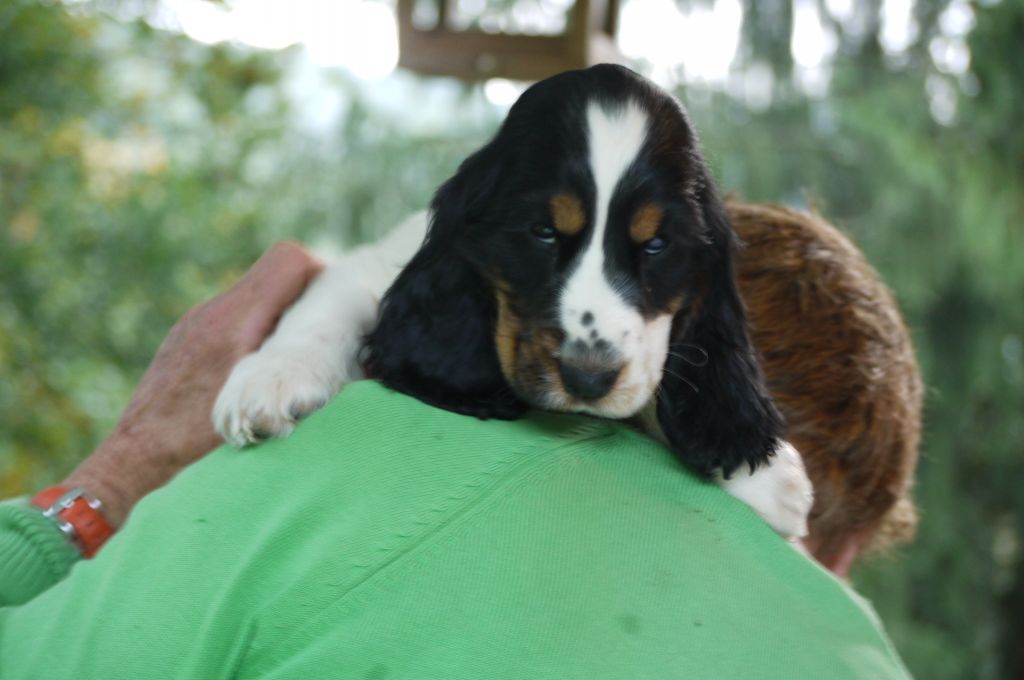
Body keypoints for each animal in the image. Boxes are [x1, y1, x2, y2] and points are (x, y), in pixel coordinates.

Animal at [214, 66, 815, 540]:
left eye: (656, 244)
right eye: (543, 232)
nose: (588, 379)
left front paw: (765, 478)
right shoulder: (369, 266)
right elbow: (327, 308)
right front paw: (272, 381)